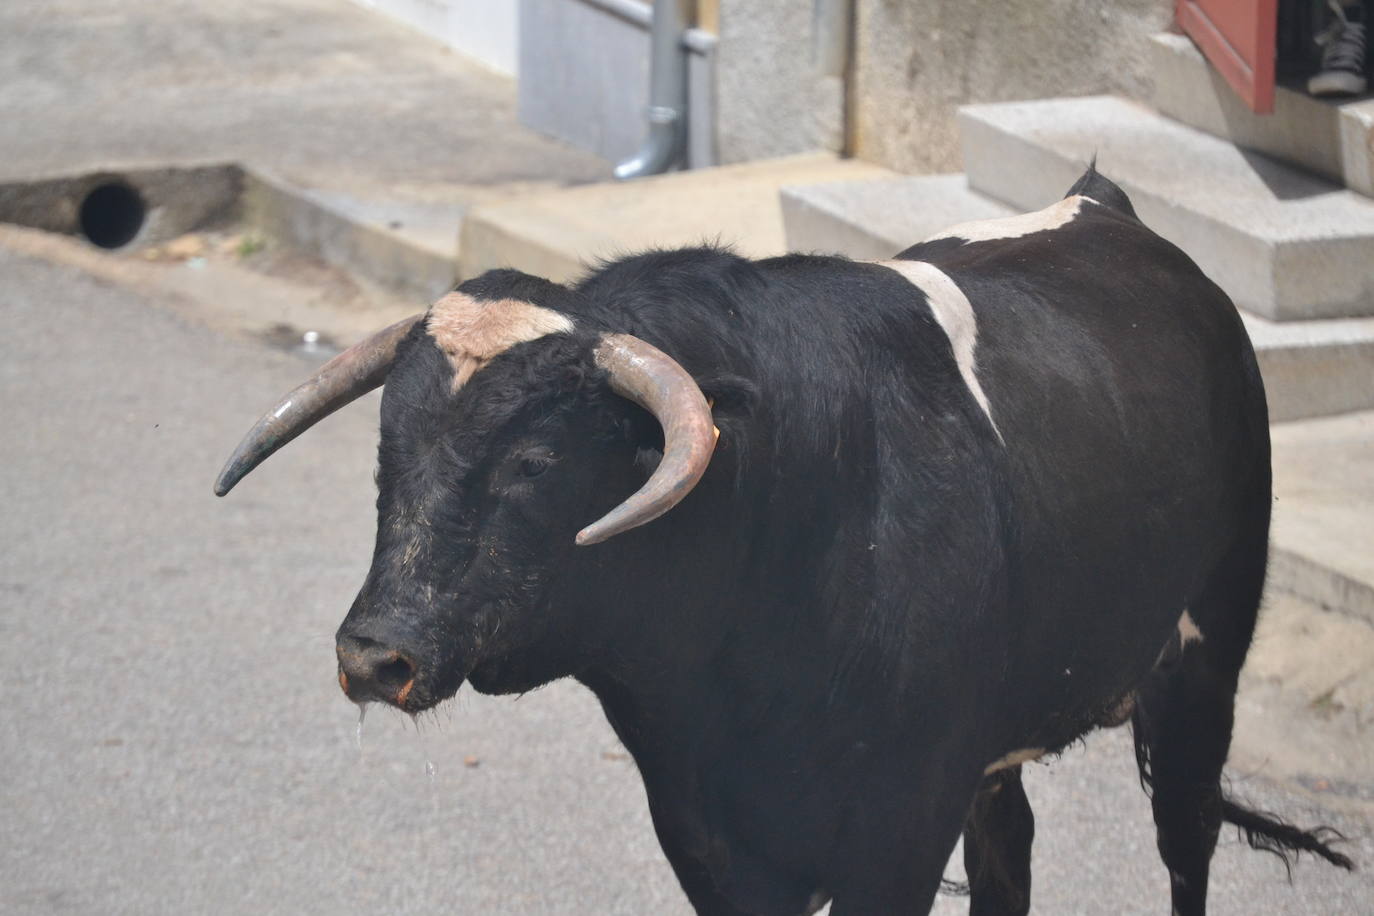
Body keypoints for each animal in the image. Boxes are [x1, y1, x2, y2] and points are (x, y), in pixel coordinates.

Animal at [217, 170, 1352, 911]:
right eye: (388, 448)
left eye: (533, 462)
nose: (375, 655)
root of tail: (1105, 208)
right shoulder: (710, 834)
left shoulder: (897, 831)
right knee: (1011, 853)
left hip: (1201, 669)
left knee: (1188, 841)